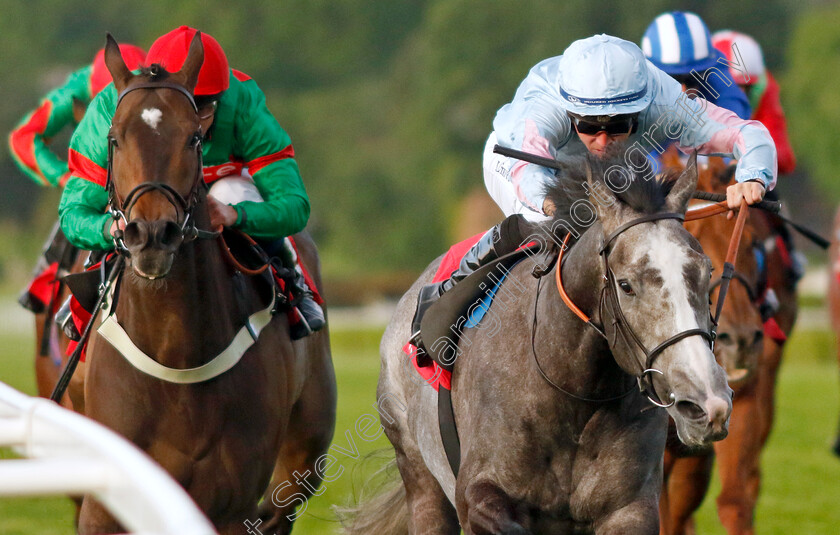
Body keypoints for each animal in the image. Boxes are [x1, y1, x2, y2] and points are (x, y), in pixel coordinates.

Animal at [75, 35, 336, 532]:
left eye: (193, 137)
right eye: (114, 138)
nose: (152, 235)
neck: (176, 356)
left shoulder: (234, 506)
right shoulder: (104, 503)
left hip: (299, 461)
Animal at [344, 154, 732, 535]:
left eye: (707, 272)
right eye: (626, 285)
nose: (706, 404)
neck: (572, 392)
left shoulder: (630, 509)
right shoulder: (477, 495)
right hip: (420, 477)